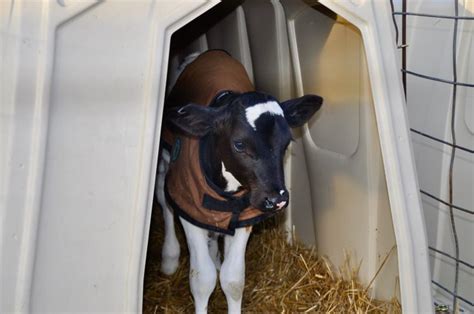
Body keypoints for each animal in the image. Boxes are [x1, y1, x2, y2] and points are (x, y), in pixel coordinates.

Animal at [156, 50, 322, 312]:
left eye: (287, 143)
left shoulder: (246, 215)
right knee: (164, 197)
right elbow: (202, 280)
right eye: (240, 144)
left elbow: (233, 279)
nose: (277, 199)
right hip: (166, 157)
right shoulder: (188, 206)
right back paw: (170, 257)